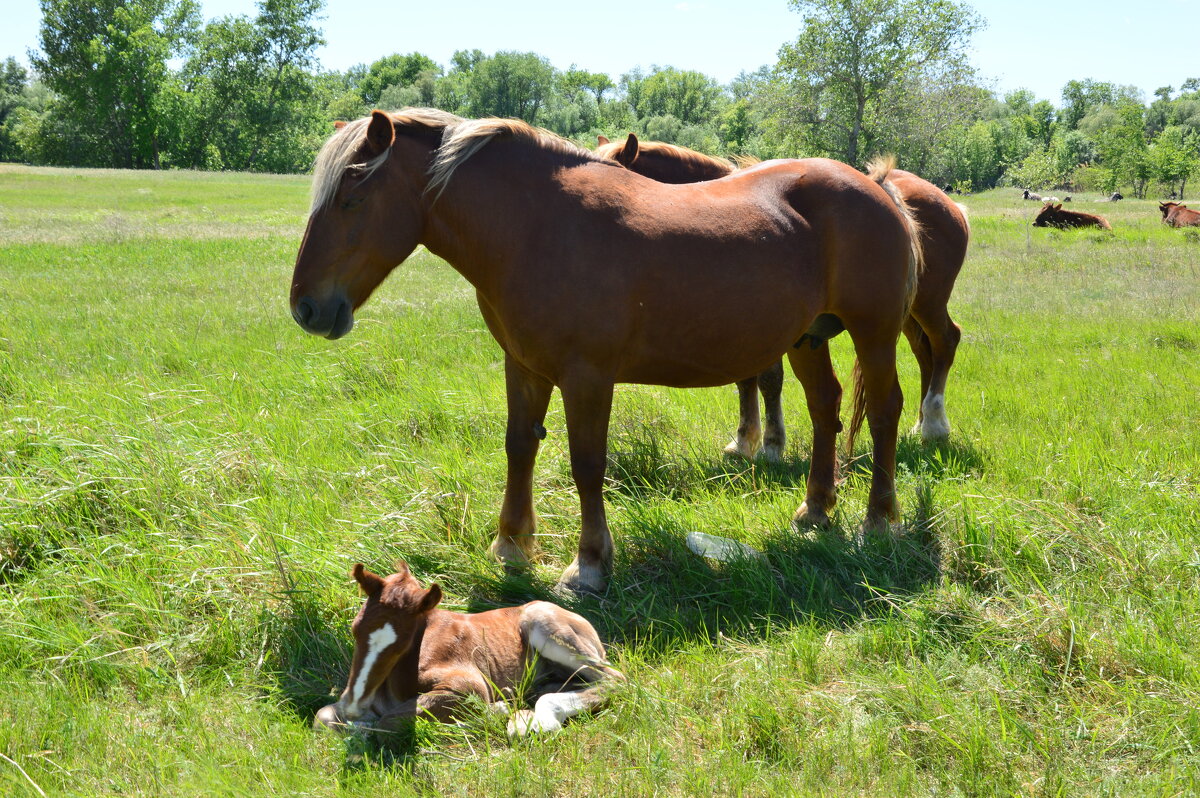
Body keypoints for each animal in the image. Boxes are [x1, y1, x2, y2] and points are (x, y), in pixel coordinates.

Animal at [290, 107, 916, 590]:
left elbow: (587, 464)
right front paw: (512, 547)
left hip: (875, 333)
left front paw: (589, 565)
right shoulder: (524, 366)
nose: (306, 308)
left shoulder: (586, 377)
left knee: (884, 412)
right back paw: (816, 510)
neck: (537, 227)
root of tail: (876, 187)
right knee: (826, 408)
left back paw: (879, 521)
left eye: (351, 198)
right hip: (808, 337)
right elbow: (520, 447)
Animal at [314, 559, 624, 734]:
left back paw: (536, 719)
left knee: (616, 681)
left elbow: (390, 722)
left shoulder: (467, 685)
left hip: (548, 627)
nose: (354, 704)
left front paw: (494, 713)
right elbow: (323, 718)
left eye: (403, 643)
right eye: (355, 629)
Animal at [595, 133, 969, 453]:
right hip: (900, 315)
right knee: (924, 352)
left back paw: (934, 424)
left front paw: (771, 444)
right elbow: (747, 380)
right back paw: (920, 424)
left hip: (927, 304)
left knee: (945, 341)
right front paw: (745, 440)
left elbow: (768, 380)